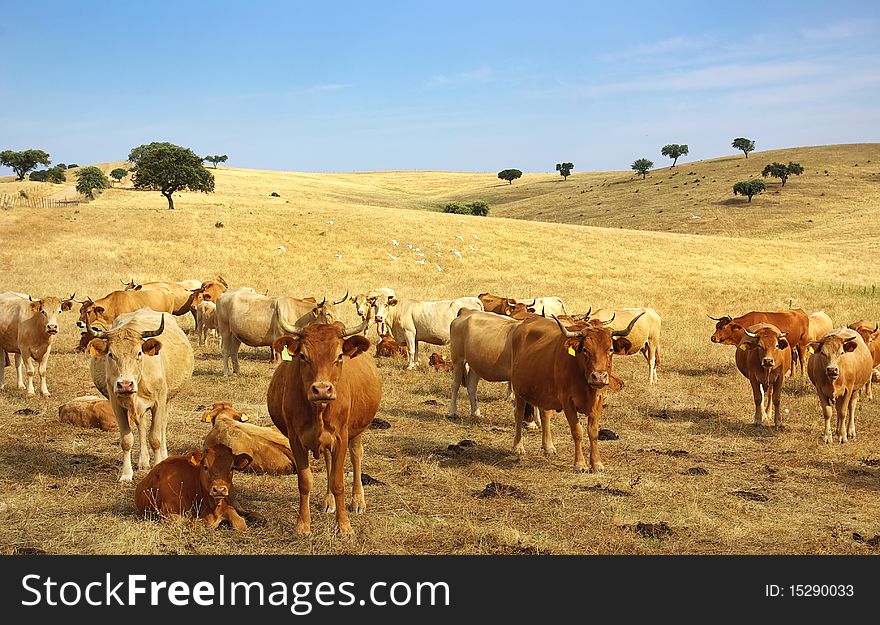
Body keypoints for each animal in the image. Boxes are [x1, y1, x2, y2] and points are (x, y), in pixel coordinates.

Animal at [86, 310, 194, 480]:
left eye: (138, 353)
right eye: (110, 354)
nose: (125, 384)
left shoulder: (158, 403)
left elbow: (155, 438)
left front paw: (158, 466)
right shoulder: (117, 406)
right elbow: (126, 440)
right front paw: (126, 474)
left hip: (167, 401)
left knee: (162, 426)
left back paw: (163, 455)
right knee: (142, 427)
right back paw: (143, 461)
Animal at [217, 288, 348, 376]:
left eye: (336, 312)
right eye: (327, 314)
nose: (341, 326)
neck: (296, 313)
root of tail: (224, 294)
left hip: (235, 334)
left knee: (234, 350)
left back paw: (237, 371)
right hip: (225, 330)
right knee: (225, 349)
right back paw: (226, 372)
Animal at [266, 316, 380, 536]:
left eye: (339, 356)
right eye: (302, 356)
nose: (322, 390)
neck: (317, 410)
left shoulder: (341, 438)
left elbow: (338, 482)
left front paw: (344, 525)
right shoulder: (295, 439)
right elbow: (305, 481)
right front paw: (303, 524)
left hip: (357, 430)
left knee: (356, 455)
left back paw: (358, 500)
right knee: (328, 462)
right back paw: (329, 501)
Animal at [508, 314, 640, 470]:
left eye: (611, 350)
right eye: (585, 350)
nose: (599, 377)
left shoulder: (598, 400)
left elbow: (593, 432)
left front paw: (597, 463)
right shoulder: (567, 401)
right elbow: (577, 431)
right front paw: (580, 464)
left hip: (543, 392)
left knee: (545, 415)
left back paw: (548, 447)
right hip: (518, 391)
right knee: (519, 414)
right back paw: (518, 446)